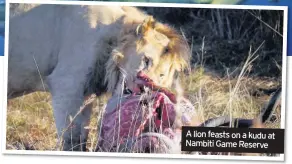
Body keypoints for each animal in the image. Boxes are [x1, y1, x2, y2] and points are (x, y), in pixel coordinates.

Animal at [7, 3, 192, 151]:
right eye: (146, 61)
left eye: (161, 75)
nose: (143, 89)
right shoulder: (66, 85)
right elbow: (70, 137)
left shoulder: (85, 93)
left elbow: (82, 134)